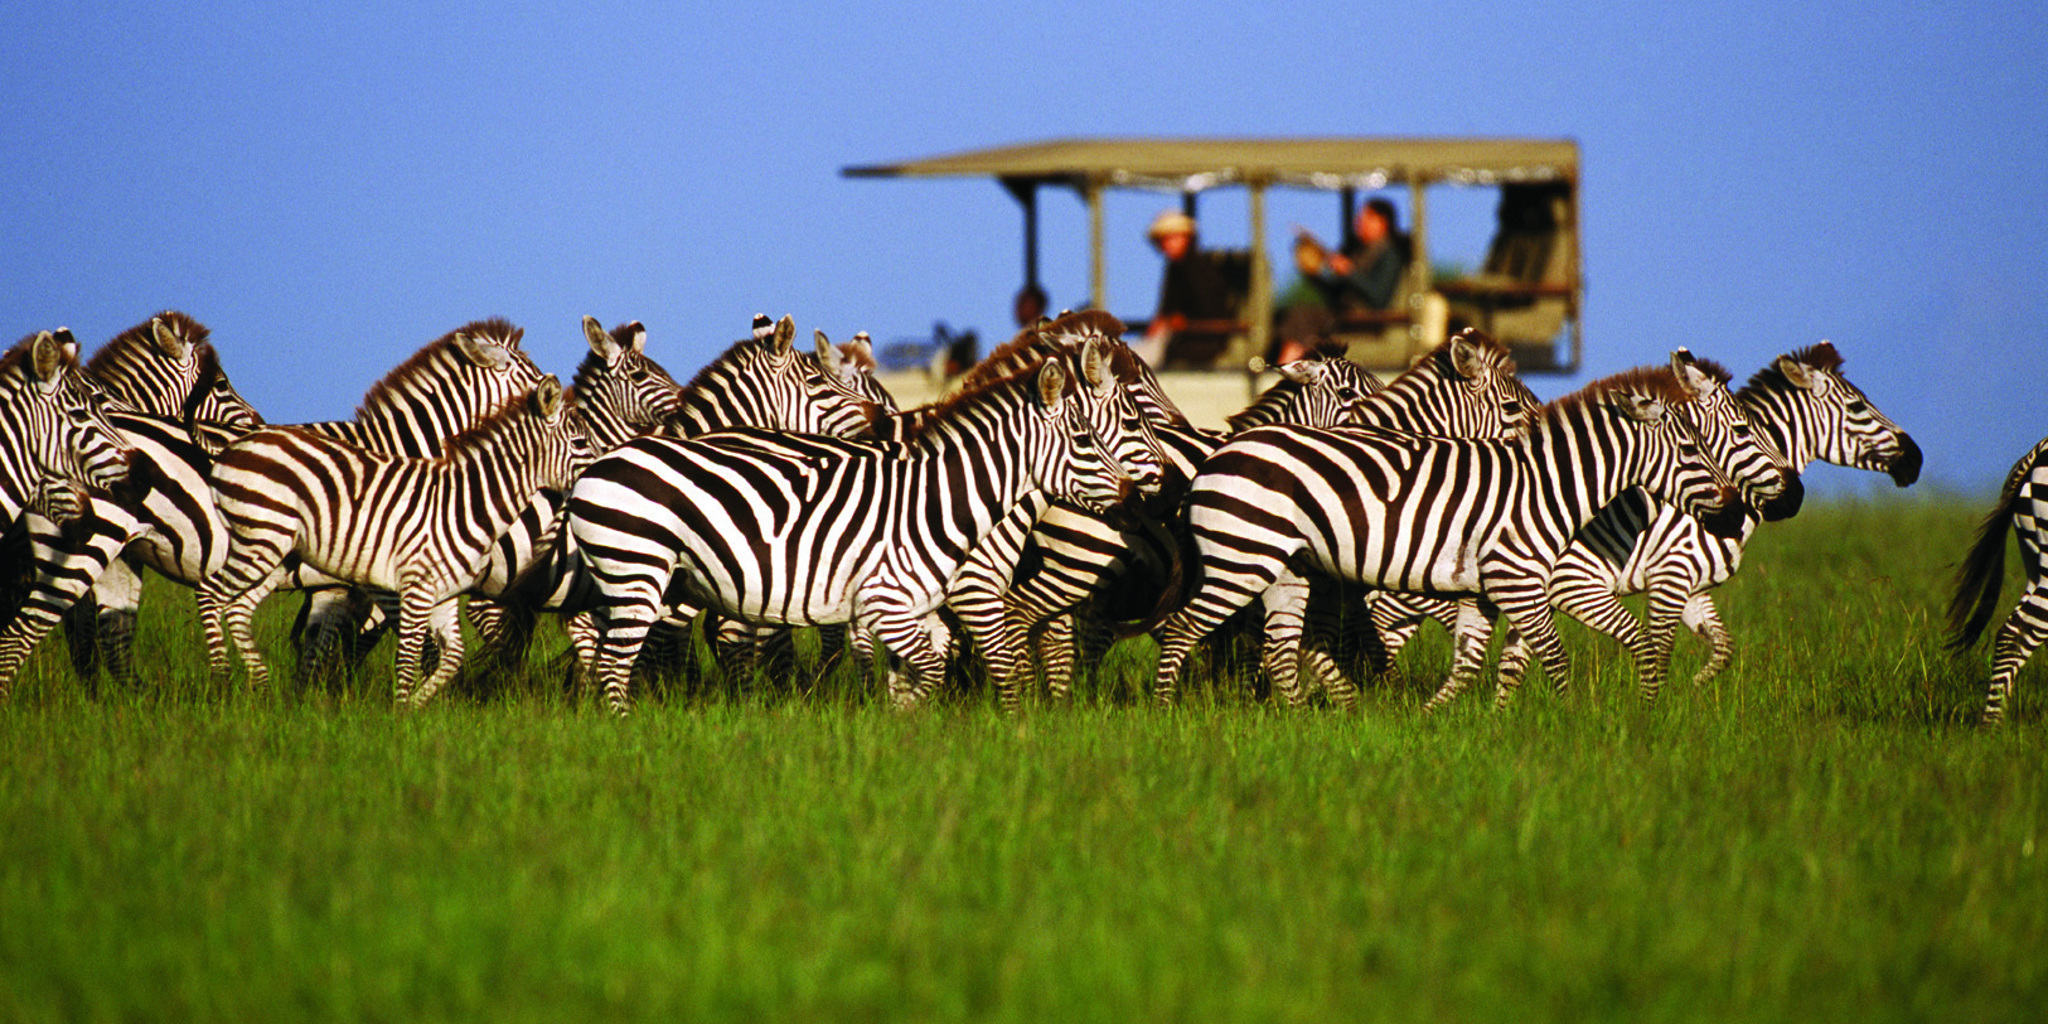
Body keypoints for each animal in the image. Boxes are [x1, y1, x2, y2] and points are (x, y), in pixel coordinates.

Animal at [199, 378, 592, 704]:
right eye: (580, 442)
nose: (603, 472)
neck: (467, 503)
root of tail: (239, 443)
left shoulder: (443, 595)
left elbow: (452, 658)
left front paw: (418, 706)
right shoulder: (415, 587)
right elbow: (408, 658)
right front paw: (401, 720)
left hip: (277, 551)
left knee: (238, 607)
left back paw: (263, 690)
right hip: (260, 538)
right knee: (210, 593)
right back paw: (221, 680)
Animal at [565, 334, 1164, 714]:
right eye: (1095, 435)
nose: (1143, 498)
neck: (941, 501)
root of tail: (599, 463)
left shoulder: (919, 609)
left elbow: (920, 673)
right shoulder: (916, 600)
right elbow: (969, 667)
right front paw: (1012, 728)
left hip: (631, 580)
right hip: (641, 574)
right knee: (623, 660)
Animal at [1148, 357, 1788, 710]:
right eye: (1693, 449)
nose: (1733, 515)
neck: (1547, 487)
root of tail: (1218, 455)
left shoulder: (1483, 591)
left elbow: (1478, 662)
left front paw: (1466, 723)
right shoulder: (1518, 582)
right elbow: (1555, 656)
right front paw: (1574, 721)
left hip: (1287, 568)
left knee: (1280, 650)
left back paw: (1303, 722)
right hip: (1242, 559)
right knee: (1181, 630)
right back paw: (1165, 714)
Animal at [1375, 342, 1915, 703]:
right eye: (1857, 407)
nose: (1916, 461)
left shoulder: (1691, 585)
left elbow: (1721, 647)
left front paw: (1693, 691)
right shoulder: (1649, 577)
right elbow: (1657, 647)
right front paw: (1650, 712)